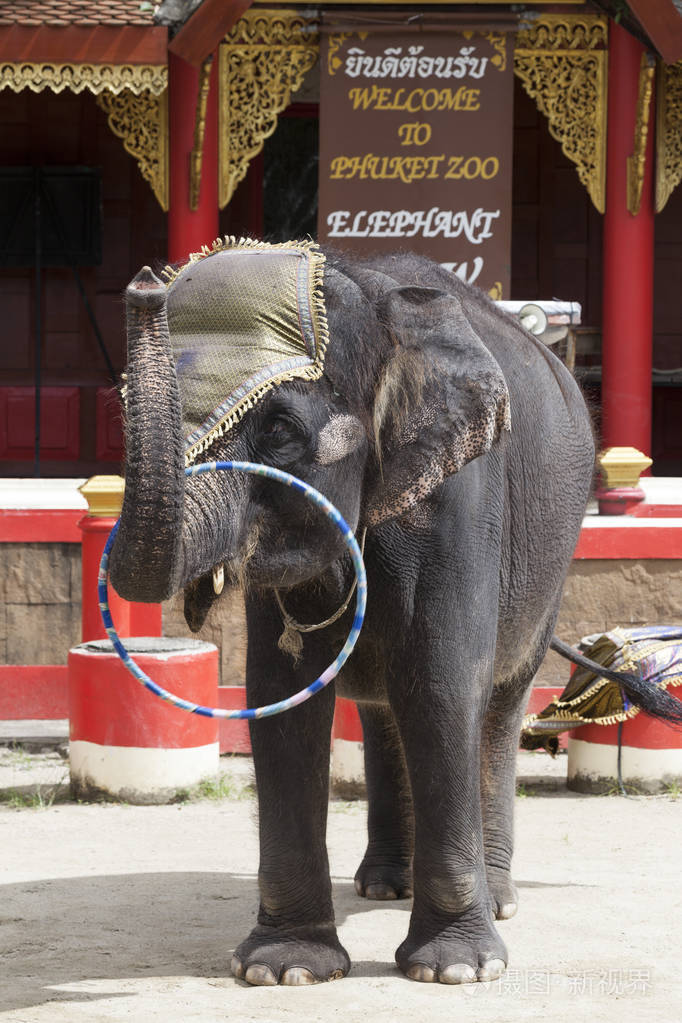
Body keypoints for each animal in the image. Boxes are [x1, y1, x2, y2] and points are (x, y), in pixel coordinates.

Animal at [109, 238, 595, 986]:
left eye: (280, 430)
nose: (143, 283)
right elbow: (280, 695)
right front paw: (283, 968)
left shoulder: (460, 497)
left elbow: (442, 683)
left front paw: (456, 970)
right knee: (381, 712)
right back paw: (384, 886)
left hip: (554, 566)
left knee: (496, 705)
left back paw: (496, 899)